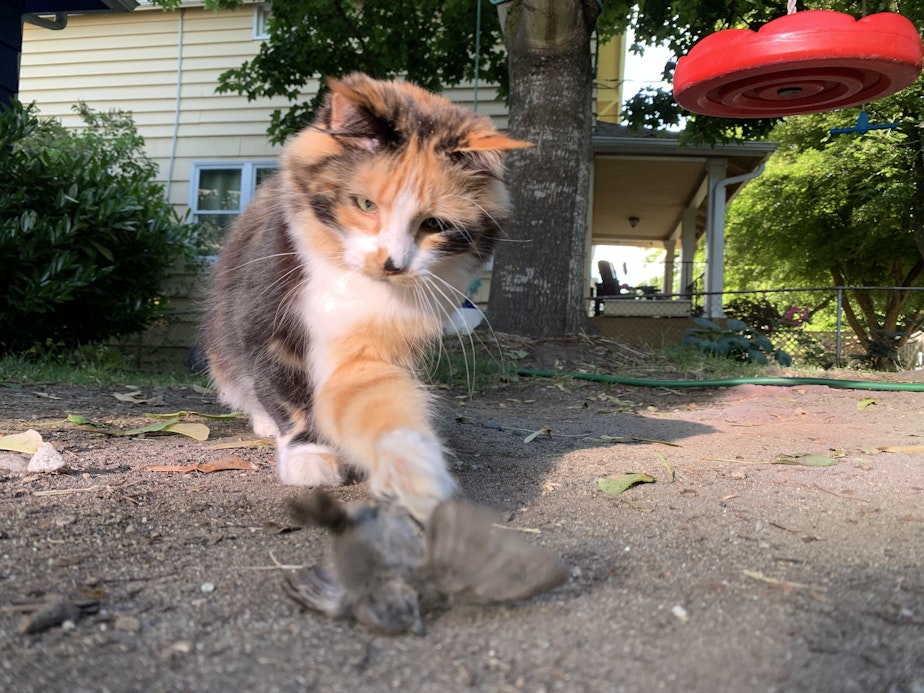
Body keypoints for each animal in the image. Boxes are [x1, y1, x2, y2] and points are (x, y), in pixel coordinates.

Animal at [206, 74, 532, 520]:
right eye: (364, 204)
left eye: (434, 224)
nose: (390, 263)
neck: (348, 279)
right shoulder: (265, 326)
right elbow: (287, 395)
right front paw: (307, 453)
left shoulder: (365, 349)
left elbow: (379, 407)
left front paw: (414, 471)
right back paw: (265, 422)